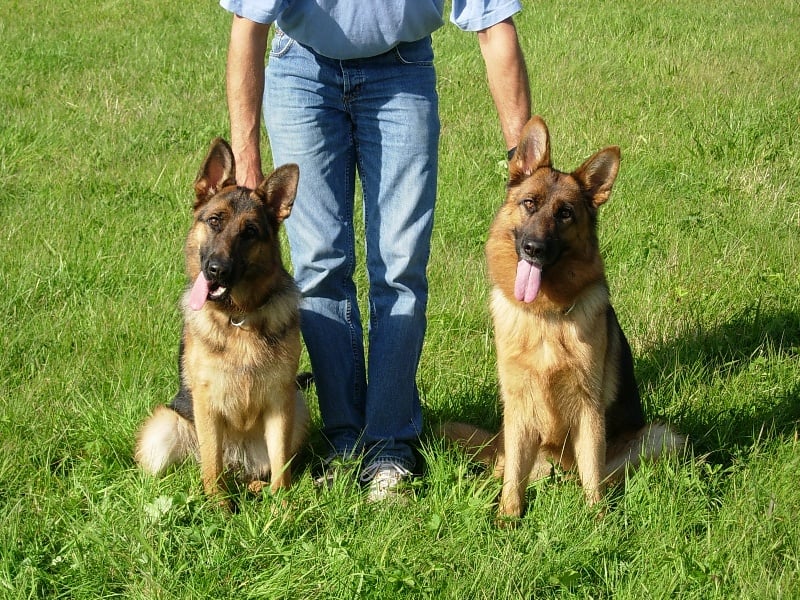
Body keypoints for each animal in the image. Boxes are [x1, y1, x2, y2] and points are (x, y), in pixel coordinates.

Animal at [135, 138, 309, 507]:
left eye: (250, 232)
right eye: (215, 221)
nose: (216, 269)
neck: (238, 317)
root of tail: (239, 460)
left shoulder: (280, 401)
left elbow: (281, 468)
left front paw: (283, 508)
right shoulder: (207, 404)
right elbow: (212, 463)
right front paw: (217, 507)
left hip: (298, 410)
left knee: (259, 470)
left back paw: (256, 488)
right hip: (164, 428)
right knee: (202, 466)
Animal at [445, 116, 685, 520]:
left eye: (565, 213)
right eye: (529, 204)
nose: (534, 249)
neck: (544, 315)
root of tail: (559, 473)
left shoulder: (588, 408)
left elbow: (592, 476)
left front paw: (597, 520)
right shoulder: (518, 407)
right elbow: (514, 480)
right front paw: (507, 518)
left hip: (660, 437)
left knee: (603, 474)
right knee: (504, 468)